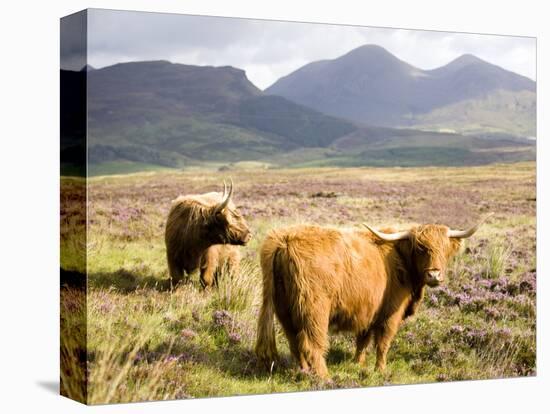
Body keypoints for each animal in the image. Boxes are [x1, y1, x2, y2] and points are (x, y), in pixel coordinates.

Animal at [256, 215, 494, 380]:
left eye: (444, 249)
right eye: (421, 248)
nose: (434, 275)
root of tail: (284, 240)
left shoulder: (368, 310)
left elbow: (363, 340)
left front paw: (357, 363)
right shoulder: (391, 313)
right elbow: (383, 343)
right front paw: (380, 369)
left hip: (285, 310)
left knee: (294, 342)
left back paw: (304, 372)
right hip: (314, 309)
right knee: (311, 344)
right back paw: (325, 378)